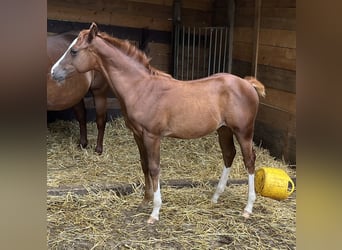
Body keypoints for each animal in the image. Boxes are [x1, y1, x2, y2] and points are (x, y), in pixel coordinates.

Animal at [50, 23, 266, 223]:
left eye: (74, 51)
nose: (53, 72)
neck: (141, 88)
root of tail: (247, 83)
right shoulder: (138, 134)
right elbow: (144, 165)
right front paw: (144, 201)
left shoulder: (152, 136)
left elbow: (154, 168)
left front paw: (155, 212)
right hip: (224, 130)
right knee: (229, 155)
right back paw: (215, 197)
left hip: (243, 132)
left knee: (249, 160)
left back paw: (248, 208)